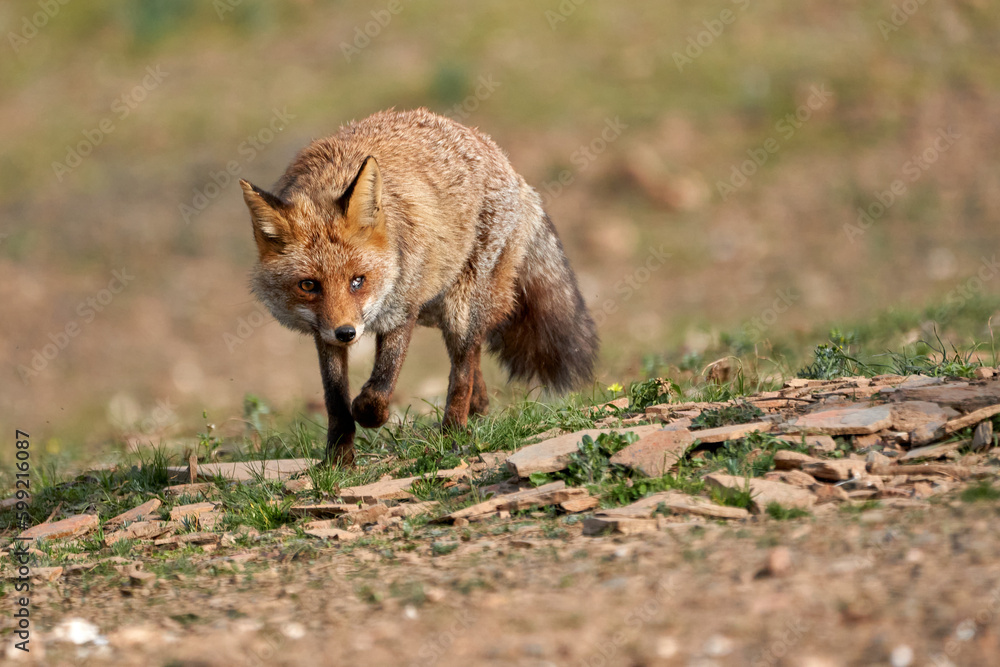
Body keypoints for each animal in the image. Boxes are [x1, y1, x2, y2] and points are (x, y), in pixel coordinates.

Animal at [239, 108, 598, 466]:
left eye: (358, 281)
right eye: (309, 285)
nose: (346, 334)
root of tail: (502, 159)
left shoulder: (401, 308)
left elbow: (376, 391)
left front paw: (369, 416)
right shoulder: (324, 334)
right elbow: (336, 400)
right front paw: (339, 458)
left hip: (461, 308)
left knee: (463, 366)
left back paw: (453, 431)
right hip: (439, 309)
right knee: (472, 362)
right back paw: (478, 407)